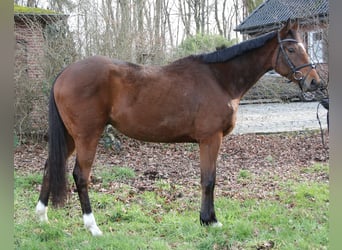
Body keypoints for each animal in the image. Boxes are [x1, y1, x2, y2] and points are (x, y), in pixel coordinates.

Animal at [35, 20, 320, 236]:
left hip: (71, 137)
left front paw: (206, 219)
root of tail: (63, 74)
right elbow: (209, 180)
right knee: (81, 176)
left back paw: (41, 217)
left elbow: (208, 179)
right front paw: (210, 220)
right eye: (291, 49)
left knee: (50, 166)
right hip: (87, 136)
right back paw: (93, 227)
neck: (219, 79)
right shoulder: (210, 139)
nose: (315, 82)